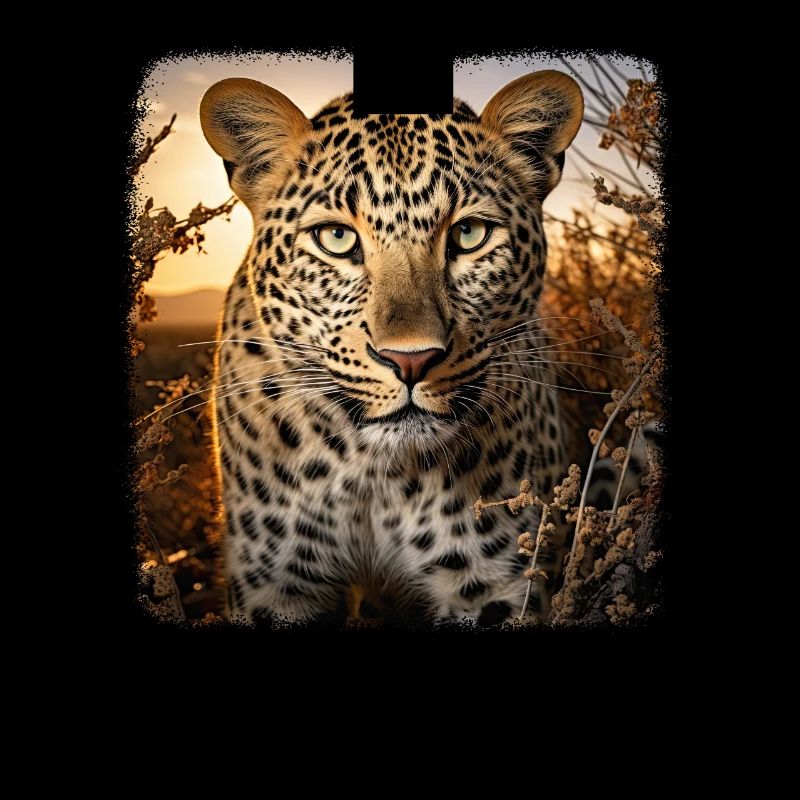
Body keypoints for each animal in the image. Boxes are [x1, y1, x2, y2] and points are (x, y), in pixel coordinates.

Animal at [199, 70, 584, 625]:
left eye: (469, 233)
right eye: (336, 238)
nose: (411, 360)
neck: (376, 477)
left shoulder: (495, 583)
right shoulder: (277, 583)